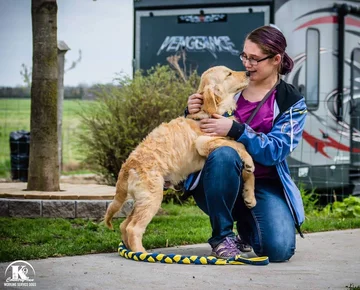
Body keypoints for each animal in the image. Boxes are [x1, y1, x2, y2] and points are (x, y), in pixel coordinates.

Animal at [104, 65, 256, 251]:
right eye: (228, 74)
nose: (248, 73)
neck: (209, 113)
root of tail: (126, 166)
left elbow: (244, 157)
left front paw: (250, 196)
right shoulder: (202, 143)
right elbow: (239, 147)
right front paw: (249, 162)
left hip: (142, 199)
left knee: (124, 224)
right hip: (152, 196)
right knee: (133, 228)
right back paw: (140, 253)